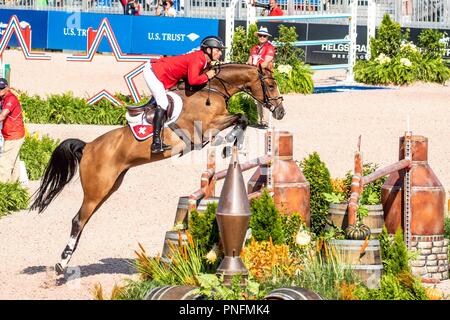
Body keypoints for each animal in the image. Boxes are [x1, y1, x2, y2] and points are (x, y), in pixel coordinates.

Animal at [30, 63, 284, 276]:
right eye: (271, 84)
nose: (280, 112)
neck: (213, 91)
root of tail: (88, 146)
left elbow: (240, 119)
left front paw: (232, 145)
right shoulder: (205, 128)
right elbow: (240, 118)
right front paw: (231, 143)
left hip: (109, 187)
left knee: (84, 220)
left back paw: (65, 262)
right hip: (97, 189)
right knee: (78, 220)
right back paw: (61, 264)